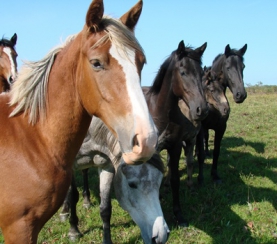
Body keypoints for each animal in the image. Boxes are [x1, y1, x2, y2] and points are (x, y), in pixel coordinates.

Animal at [0, 0, 157, 243]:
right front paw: (73, 226)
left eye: (141, 62)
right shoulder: (19, 228)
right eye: (96, 63)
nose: (146, 140)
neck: (32, 139)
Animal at [142, 40, 207, 227]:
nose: (202, 109)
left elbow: (175, 179)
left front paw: (179, 214)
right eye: (183, 72)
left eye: (202, 73)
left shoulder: (176, 147)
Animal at [201, 43, 246, 182]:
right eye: (228, 67)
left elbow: (217, 151)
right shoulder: (202, 127)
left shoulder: (221, 128)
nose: (241, 95)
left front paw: (214, 174)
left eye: (243, 67)